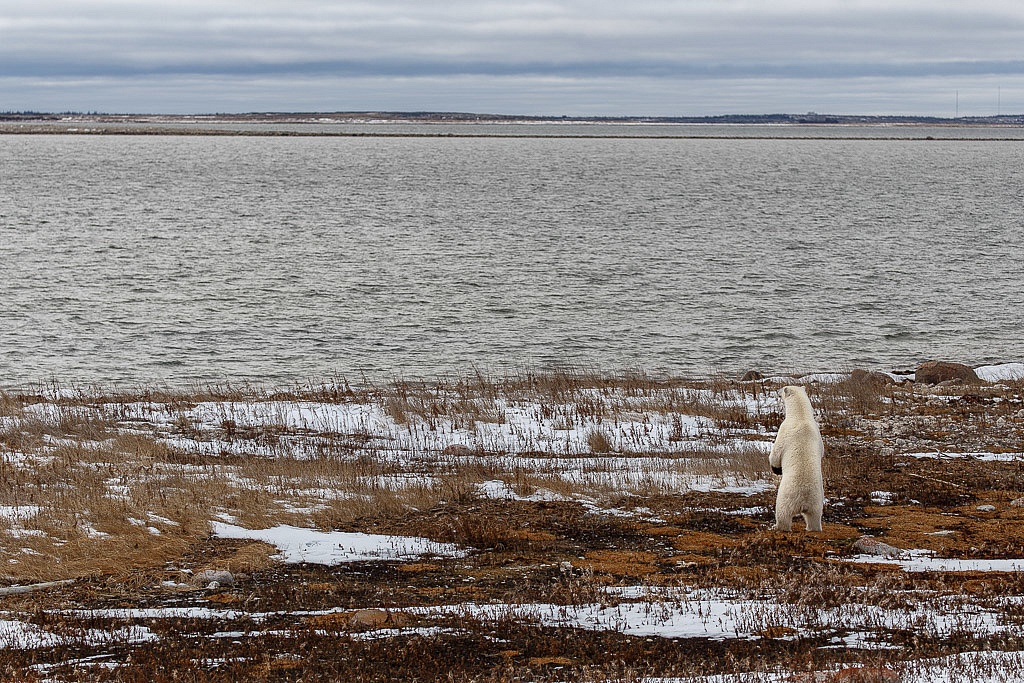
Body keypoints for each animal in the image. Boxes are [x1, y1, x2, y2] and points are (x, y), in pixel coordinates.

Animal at [770, 387, 823, 532]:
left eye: (782, 389)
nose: (777, 391)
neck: (801, 416)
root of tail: (803, 500)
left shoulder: (784, 429)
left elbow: (776, 454)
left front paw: (776, 468)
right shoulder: (818, 434)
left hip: (786, 496)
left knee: (783, 513)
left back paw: (777, 526)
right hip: (817, 501)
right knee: (814, 517)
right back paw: (812, 528)